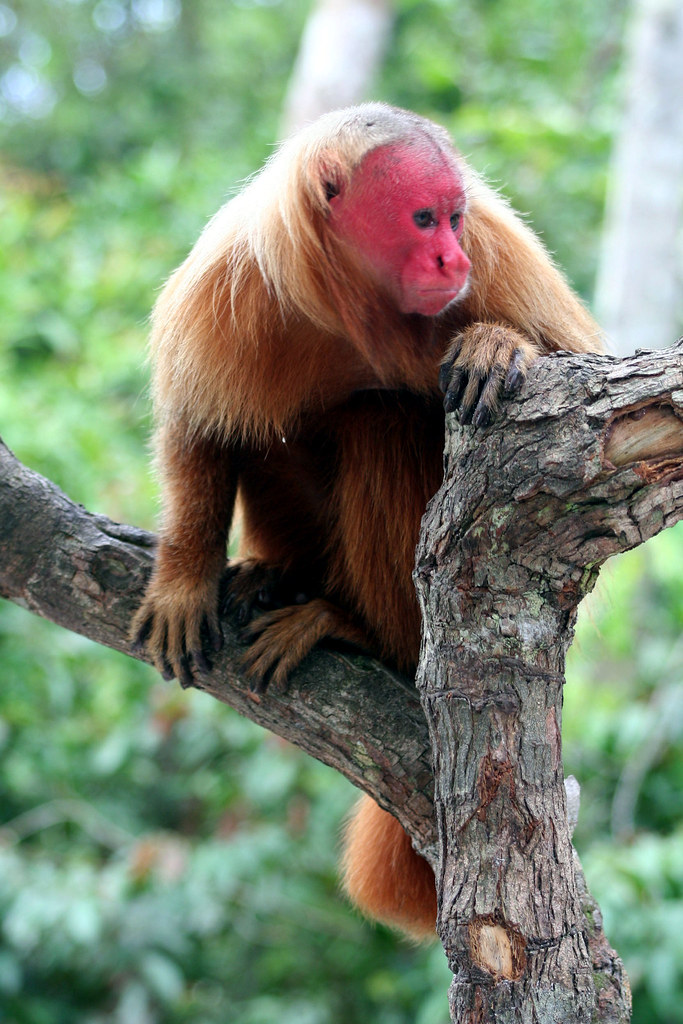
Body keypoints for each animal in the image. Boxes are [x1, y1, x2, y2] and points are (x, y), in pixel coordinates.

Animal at [131, 103, 603, 940]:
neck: (357, 299)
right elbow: (200, 424)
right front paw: (184, 579)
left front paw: (499, 344)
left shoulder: (495, 249)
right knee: (275, 420)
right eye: (420, 220)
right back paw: (280, 577)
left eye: (453, 218)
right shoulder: (227, 280)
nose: (449, 258)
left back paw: (361, 631)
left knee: (378, 419)